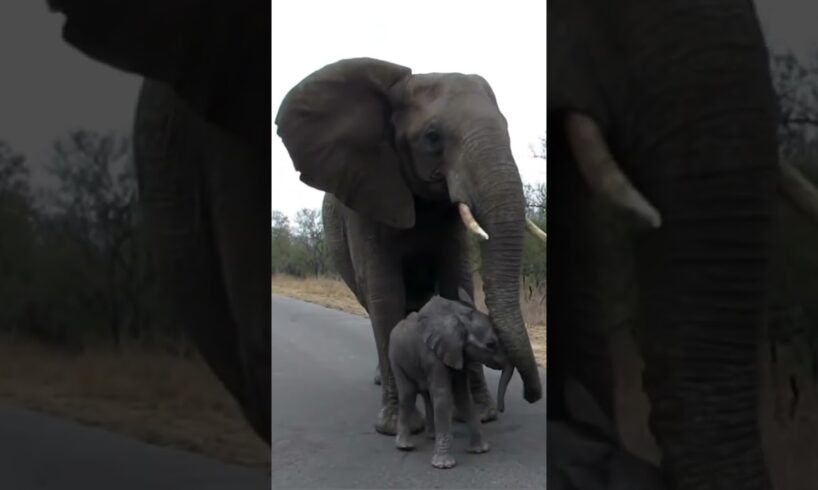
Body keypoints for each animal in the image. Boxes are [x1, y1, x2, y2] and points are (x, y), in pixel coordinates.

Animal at [274, 59, 548, 434]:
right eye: (432, 137)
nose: (530, 397)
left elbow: (455, 280)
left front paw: (479, 414)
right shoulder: (367, 198)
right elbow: (386, 294)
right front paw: (396, 426)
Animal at [388, 290, 510, 468]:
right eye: (491, 344)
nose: (501, 409)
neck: (458, 320)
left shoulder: (458, 355)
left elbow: (462, 396)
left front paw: (480, 450)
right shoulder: (434, 357)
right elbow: (443, 396)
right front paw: (444, 465)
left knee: (427, 395)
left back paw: (432, 436)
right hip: (396, 358)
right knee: (408, 394)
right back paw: (405, 446)